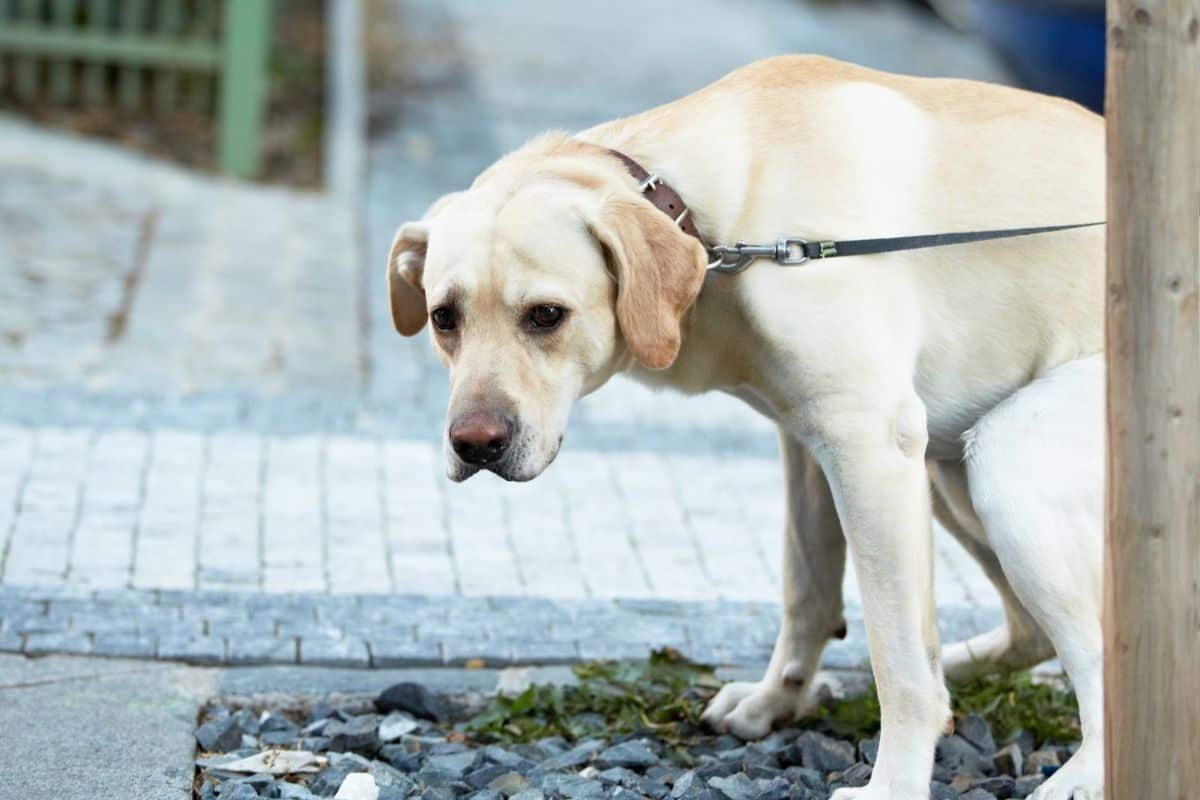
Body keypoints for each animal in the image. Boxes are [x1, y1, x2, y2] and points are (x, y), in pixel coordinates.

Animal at [386, 57, 1104, 800]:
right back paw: (961, 666)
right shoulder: (812, 444)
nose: (474, 444)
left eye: (546, 315)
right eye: (443, 318)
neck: (719, 221)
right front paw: (776, 701)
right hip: (945, 468)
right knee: (1033, 633)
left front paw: (894, 781)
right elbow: (807, 590)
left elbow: (899, 662)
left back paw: (1082, 772)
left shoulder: (868, 443)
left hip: (1007, 463)